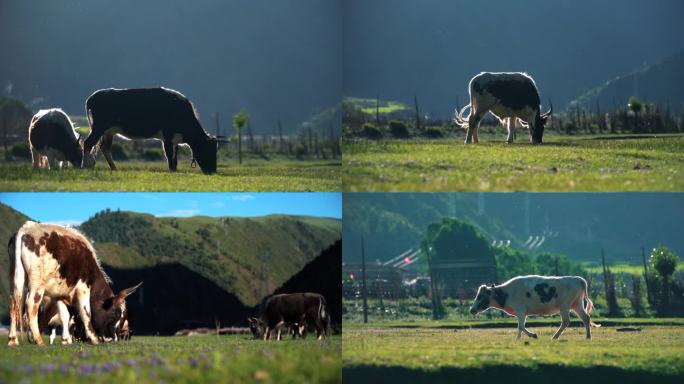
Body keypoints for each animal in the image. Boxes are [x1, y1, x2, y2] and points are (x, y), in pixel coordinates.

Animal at [7, 220, 143, 346]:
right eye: (116, 314)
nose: (114, 339)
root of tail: (25, 229)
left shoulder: (60, 294)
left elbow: (65, 316)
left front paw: (66, 340)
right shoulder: (83, 288)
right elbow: (86, 312)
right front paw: (93, 339)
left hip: (16, 277)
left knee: (14, 304)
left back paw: (13, 339)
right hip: (37, 283)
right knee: (31, 305)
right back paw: (38, 340)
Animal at [82, 87, 222, 174]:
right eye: (208, 150)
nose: (212, 171)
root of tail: (92, 96)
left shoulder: (175, 139)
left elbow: (175, 158)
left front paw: (175, 171)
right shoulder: (167, 136)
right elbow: (169, 156)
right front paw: (171, 171)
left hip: (108, 131)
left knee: (105, 148)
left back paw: (114, 168)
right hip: (99, 127)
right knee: (88, 143)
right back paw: (84, 166)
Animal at [470, 276, 600, 340]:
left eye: (480, 296)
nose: (471, 310)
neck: (506, 294)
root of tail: (579, 279)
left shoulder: (521, 310)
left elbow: (521, 326)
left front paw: (533, 335)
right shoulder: (521, 313)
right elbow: (520, 327)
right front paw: (517, 339)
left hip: (565, 305)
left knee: (566, 321)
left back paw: (555, 336)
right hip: (577, 304)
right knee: (585, 318)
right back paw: (588, 336)